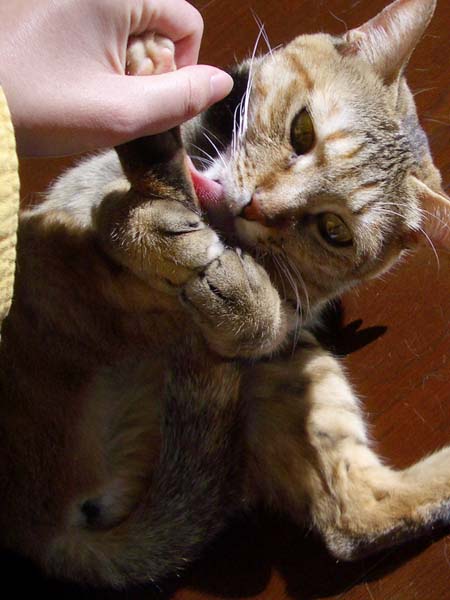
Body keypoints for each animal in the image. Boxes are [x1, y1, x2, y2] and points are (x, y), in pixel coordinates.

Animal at [1, 0, 450, 588]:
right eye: (302, 130)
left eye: (334, 230)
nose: (255, 207)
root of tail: (39, 530)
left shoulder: (284, 319)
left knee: (353, 518)